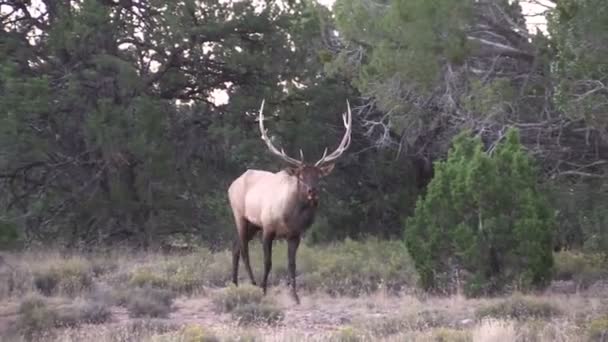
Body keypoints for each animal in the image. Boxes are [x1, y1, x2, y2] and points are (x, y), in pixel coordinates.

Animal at [227, 99, 352, 304]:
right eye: (300, 176)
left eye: (318, 175)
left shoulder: (295, 235)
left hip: (253, 225)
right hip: (240, 215)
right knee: (243, 249)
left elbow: (292, 264)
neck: (289, 216)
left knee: (236, 246)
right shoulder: (268, 228)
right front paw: (264, 290)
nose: (312, 191)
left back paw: (235, 283)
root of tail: (231, 184)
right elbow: (268, 262)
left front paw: (295, 296)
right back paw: (252, 284)